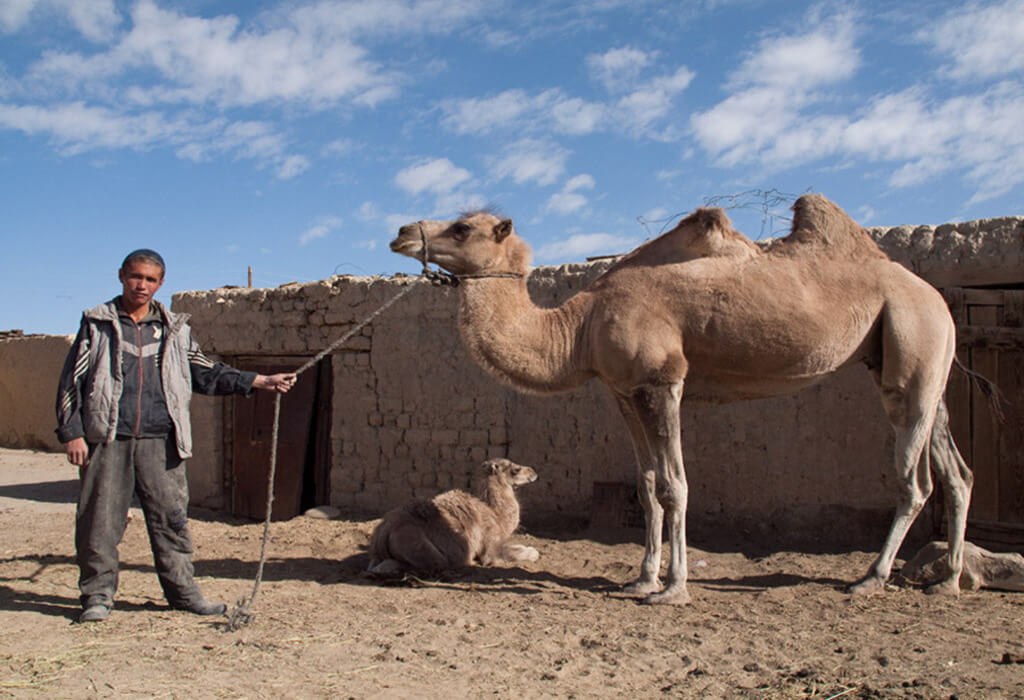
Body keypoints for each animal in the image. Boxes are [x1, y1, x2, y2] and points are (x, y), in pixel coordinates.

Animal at [367, 458, 539, 575]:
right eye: (516, 469)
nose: (534, 472)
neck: (496, 515)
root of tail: (383, 532)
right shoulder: (490, 546)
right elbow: (516, 554)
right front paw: (531, 552)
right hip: (416, 542)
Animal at [390, 193, 973, 605]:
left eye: (463, 228)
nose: (400, 232)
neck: (579, 326)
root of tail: (936, 297)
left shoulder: (663, 381)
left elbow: (675, 485)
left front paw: (673, 588)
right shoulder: (623, 391)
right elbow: (647, 486)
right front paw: (641, 579)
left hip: (911, 342)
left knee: (915, 479)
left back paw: (871, 578)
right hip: (919, 363)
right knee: (957, 472)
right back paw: (946, 580)